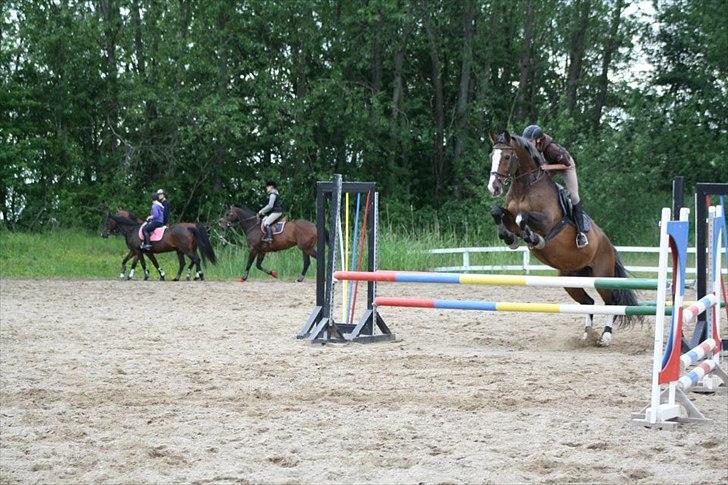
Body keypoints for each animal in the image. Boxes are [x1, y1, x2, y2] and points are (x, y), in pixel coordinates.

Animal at [490, 130, 636, 346]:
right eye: (491, 156)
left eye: (507, 156)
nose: (494, 187)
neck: (526, 186)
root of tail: (609, 245)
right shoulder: (508, 215)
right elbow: (497, 212)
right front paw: (509, 239)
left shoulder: (546, 221)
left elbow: (522, 217)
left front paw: (534, 238)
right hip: (570, 278)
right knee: (588, 302)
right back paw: (586, 334)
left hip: (602, 275)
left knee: (611, 302)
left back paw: (605, 337)